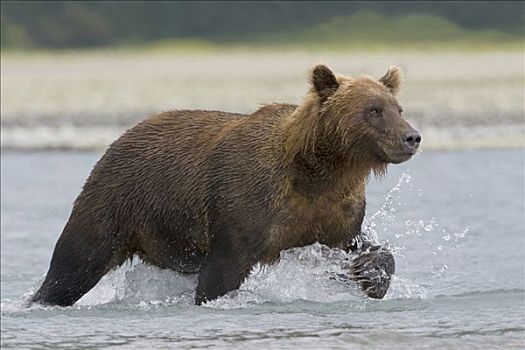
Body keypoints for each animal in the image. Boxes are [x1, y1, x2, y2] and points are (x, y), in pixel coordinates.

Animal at [31, 64, 418, 304]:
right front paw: (215, 297)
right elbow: (225, 269)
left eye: (397, 107)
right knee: (76, 263)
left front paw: (370, 273)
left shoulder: (333, 211)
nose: (412, 137)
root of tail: (122, 136)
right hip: (117, 198)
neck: (317, 169)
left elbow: (355, 246)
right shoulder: (248, 201)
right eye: (373, 110)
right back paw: (42, 299)